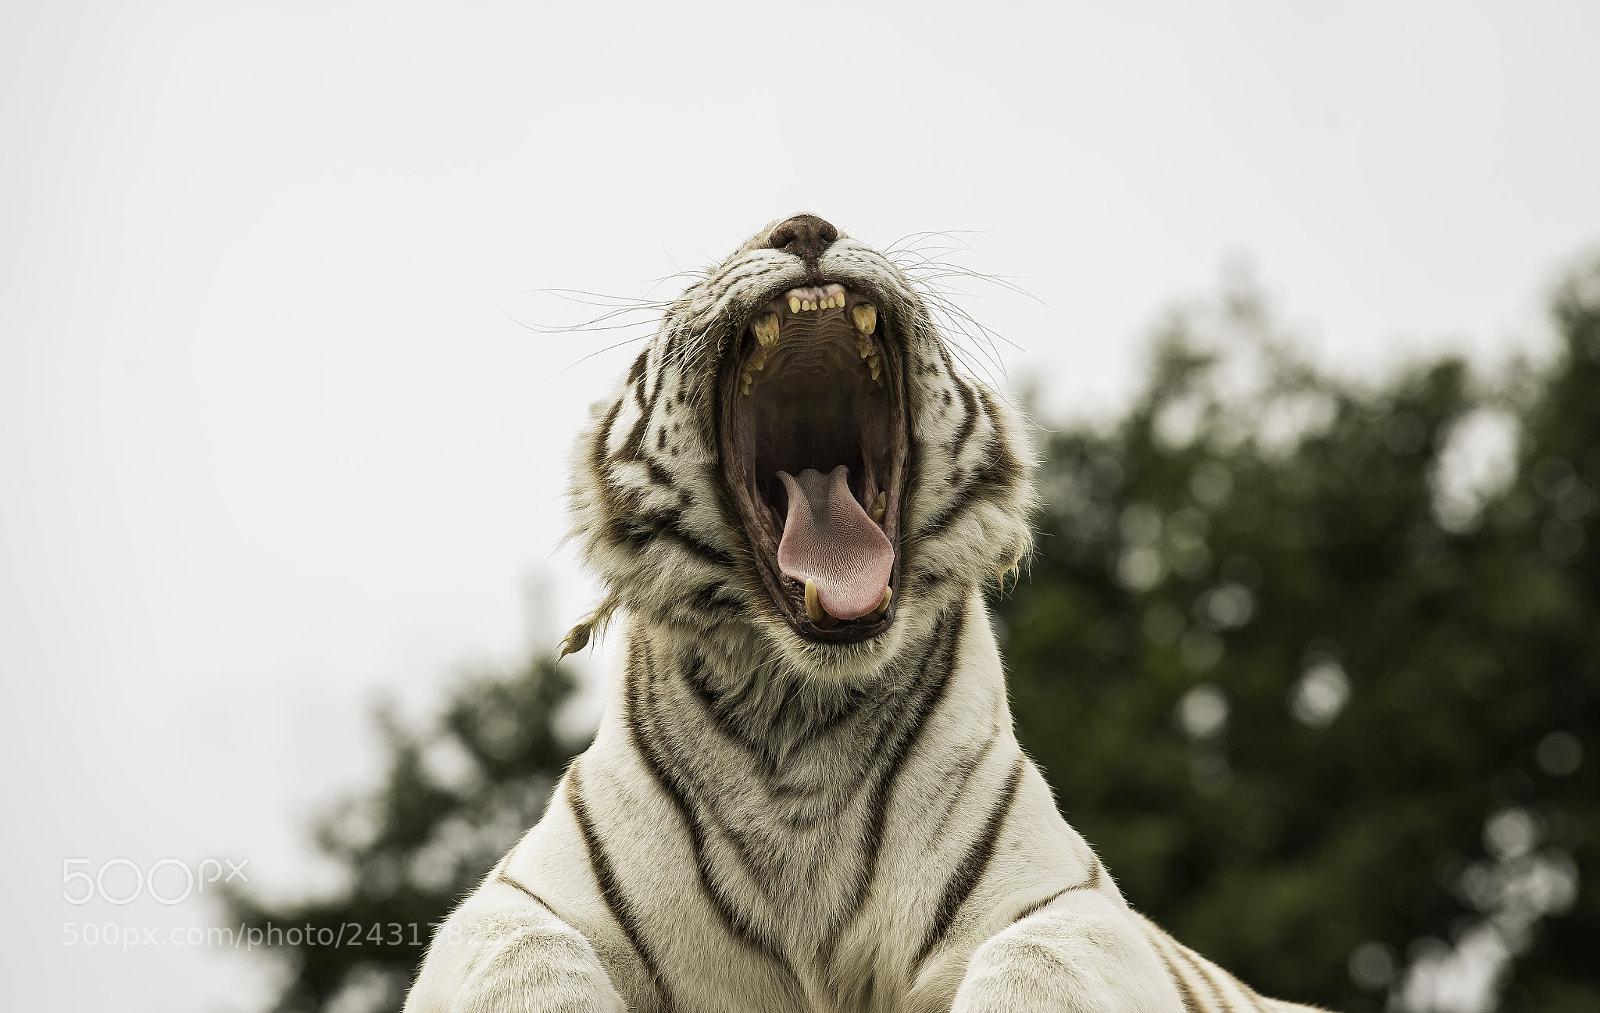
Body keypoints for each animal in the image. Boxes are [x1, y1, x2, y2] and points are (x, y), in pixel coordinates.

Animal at [403, 214, 1326, 1013]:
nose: (806, 226)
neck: (795, 713)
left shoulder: (1066, 905)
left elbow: (1037, 966)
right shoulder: (516, 904)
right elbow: (523, 959)